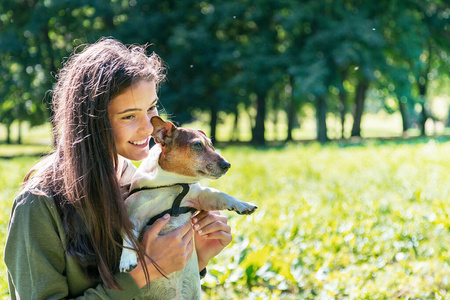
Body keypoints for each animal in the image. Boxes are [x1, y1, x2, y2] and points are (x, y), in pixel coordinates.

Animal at [119, 116, 256, 298]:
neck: (172, 184)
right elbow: (128, 240)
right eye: (198, 145)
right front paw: (127, 259)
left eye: (211, 144)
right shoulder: (132, 214)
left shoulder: (199, 196)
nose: (227, 164)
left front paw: (243, 204)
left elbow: (221, 195)